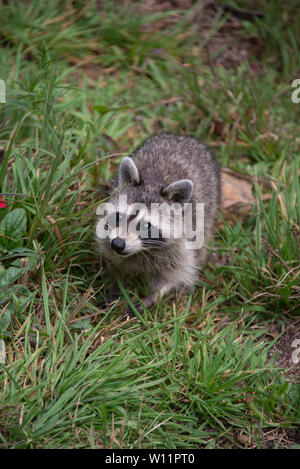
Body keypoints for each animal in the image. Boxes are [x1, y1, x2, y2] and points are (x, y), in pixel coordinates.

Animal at [96, 133, 220, 312]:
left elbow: (175, 274)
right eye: (119, 216)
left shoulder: (180, 246)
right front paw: (116, 285)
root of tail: (182, 136)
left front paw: (155, 295)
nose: (118, 244)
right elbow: (115, 265)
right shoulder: (107, 238)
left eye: (145, 225)